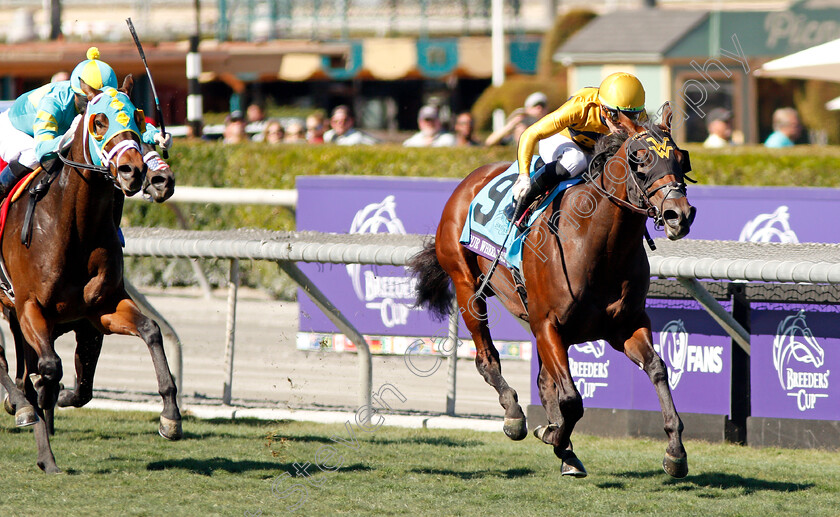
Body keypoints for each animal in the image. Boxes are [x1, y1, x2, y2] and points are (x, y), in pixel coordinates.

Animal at [0, 75, 180, 472]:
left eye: (139, 118)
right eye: (99, 122)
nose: (134, 171)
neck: (73, 227)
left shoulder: (99, 310)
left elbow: (151, 331)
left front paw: (171, 418)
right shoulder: (30, 306)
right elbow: (49, 367)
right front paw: (42, 441)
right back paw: (22, 406)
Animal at [412, 108, 696, 476]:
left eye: (681, 159)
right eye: (640, 161)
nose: (680, 215)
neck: (598, 244)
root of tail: (470, 179)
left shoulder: (625, 324)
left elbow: (658, 369)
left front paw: (675, 452)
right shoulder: (547, 324)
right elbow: (572, 400)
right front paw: (557, 439)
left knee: (544, 381)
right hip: (467, 286)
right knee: (487, 358)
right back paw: (515, 416)